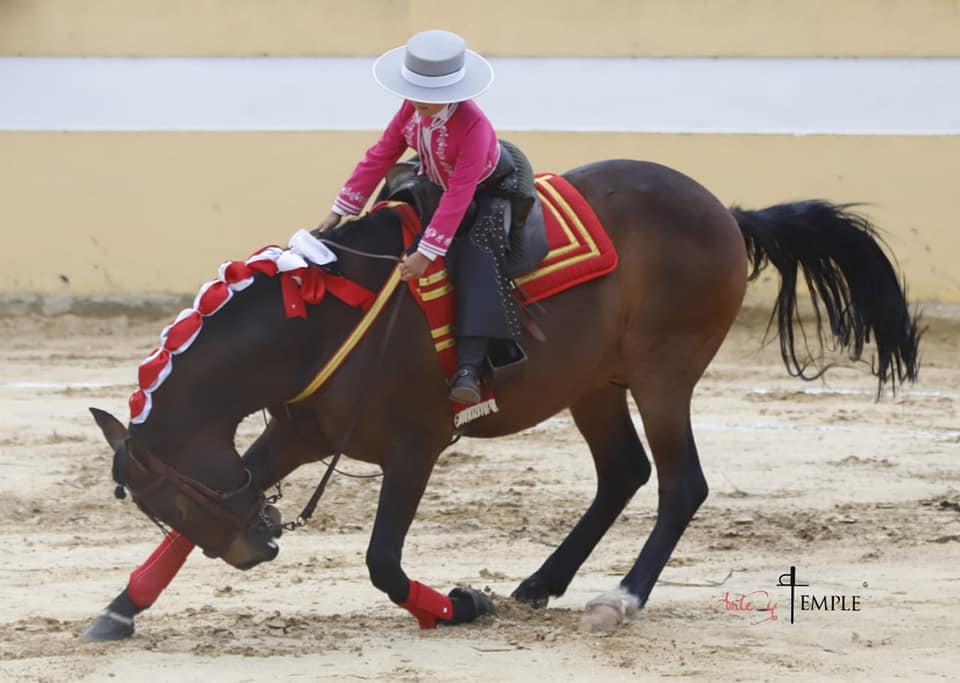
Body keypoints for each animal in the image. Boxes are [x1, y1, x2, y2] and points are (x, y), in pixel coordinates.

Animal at [85, 159, 920, 640]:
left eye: (172, 494)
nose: (256, 548)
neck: (317, 320)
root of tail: (727, 210)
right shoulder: (296, 432)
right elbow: (234, 497)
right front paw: (121, 606)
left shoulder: (415, 447)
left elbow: (382, 560)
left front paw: (458, 604)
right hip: (595, 384)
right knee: (624, 472)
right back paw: (541, 583)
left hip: (662, 374)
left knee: (681, 482)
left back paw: (620, 597)